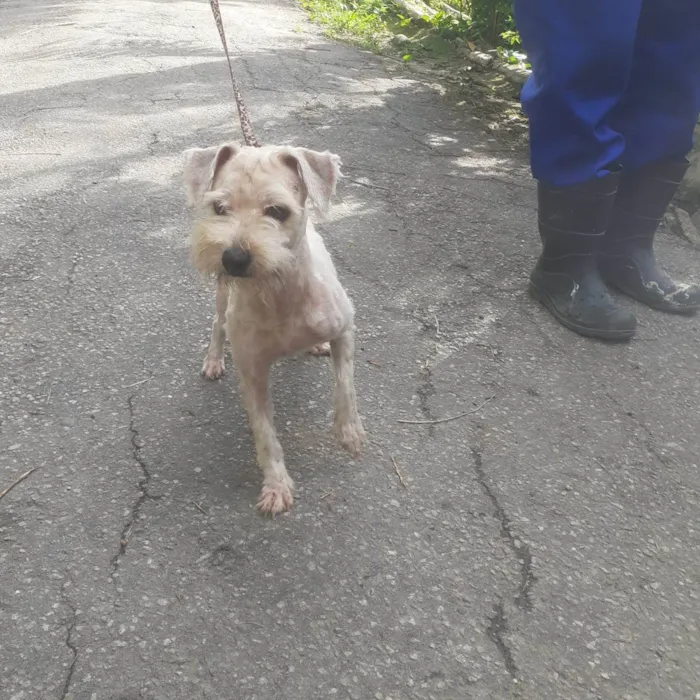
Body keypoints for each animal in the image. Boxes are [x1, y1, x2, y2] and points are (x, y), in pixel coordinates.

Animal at [180, 142, 366, 516]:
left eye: (277, 211)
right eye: (219, 207)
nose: (233, 258)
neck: (281, 294)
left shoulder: (345, 328)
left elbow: (346, 384)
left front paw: (350, 433)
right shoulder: (252, 373)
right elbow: (265, 432)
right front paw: (277, 486)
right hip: (222, 295)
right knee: (217, 323)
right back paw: (213, 359)